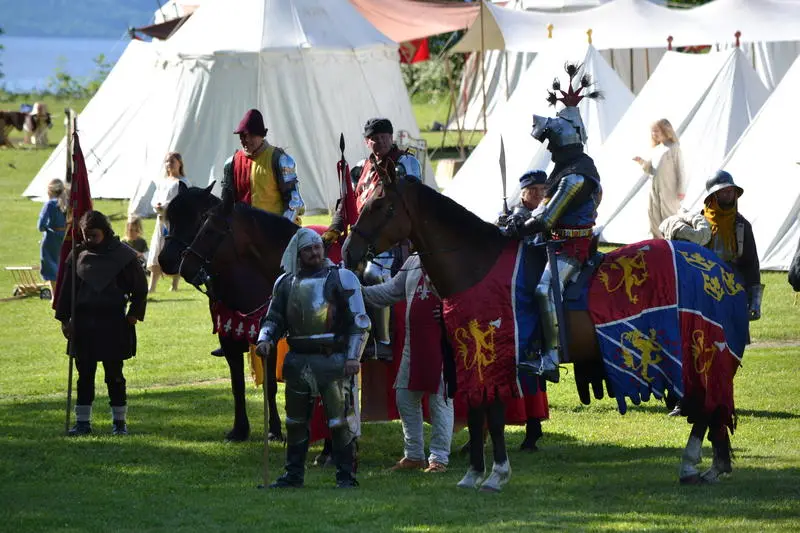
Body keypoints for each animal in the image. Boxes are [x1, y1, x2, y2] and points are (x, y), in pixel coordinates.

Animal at [342, 176, 744, 486]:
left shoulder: (495, 357)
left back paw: (692, 463)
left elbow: (493, 415)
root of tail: (717, 268)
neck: (477, 266)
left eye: (383, 207)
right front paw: (473, 474)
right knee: (710, 404)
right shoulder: (469, 358)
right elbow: (477, 413)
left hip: (697, 349)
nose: (349, 251)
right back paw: (709, 466)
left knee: (706, 404)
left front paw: (496, 474)